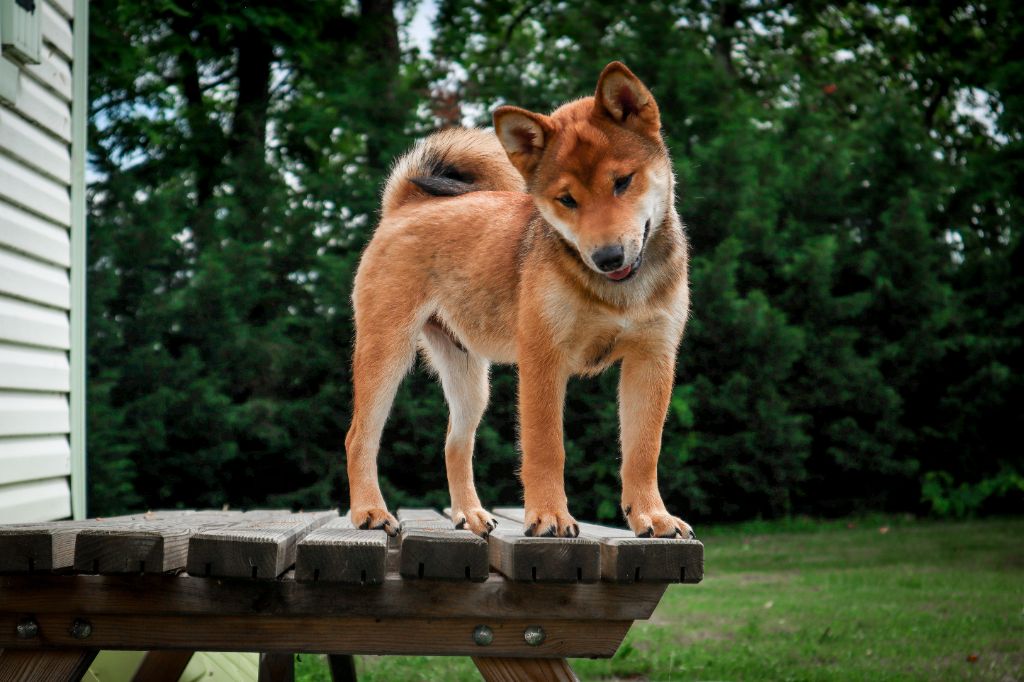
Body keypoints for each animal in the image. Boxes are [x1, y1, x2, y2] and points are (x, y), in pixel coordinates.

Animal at [345, 61, 694, 539]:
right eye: (566, 199)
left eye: (623, 182)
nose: (608, 257)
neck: (617, 294)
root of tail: (406, 206)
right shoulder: (544, 360)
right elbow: (546, 448)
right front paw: (549, 516)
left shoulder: (652, 358)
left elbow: (643, 451)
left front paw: (652, 516)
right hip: (386, 353)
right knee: (360, 436)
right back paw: (371, 511)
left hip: (470, 378)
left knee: (455, 444)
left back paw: (469, 515)